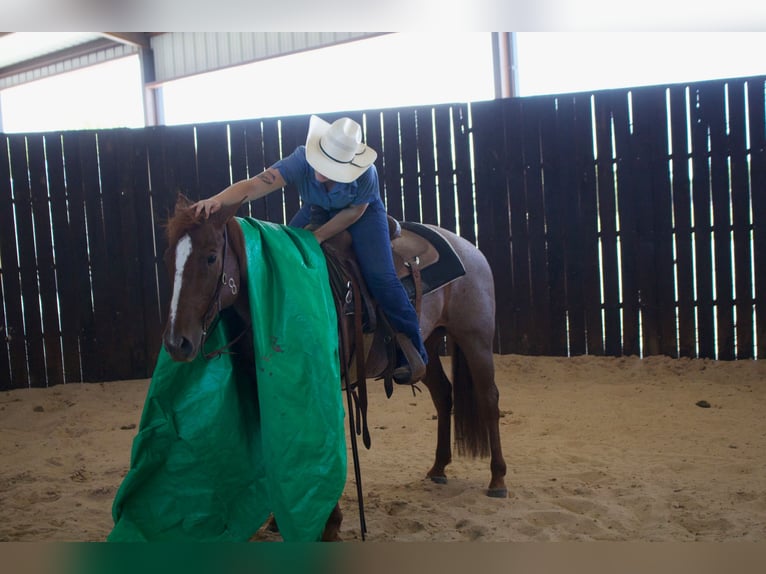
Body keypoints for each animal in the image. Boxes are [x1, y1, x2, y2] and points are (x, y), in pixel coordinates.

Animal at [162, 196, 508, 544]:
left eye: (211, 257)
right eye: (170, 258)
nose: (178, 343)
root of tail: (469, 247)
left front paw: (330, 523)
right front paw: (279, 519)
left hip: (475, 338)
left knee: (488, 399)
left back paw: (497, 480)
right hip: (430, 341)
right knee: (443, 395)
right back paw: (438, 469)